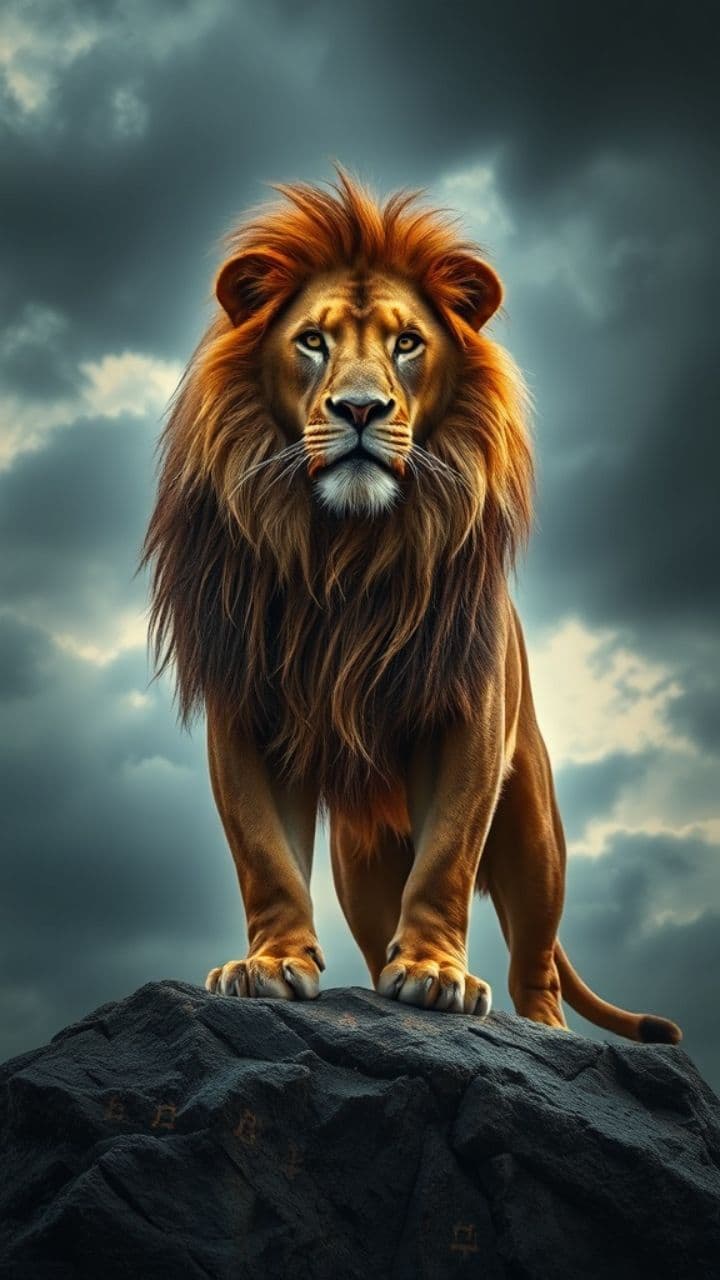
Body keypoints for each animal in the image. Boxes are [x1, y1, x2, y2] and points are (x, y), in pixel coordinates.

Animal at [141, 168, 681, 1044]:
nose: (361, 410)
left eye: (407, 344)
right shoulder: (246, 708)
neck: (346, 550)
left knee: (536, 960)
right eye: (313, 341)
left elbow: (448, 858)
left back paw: (543, 1029)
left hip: (535, 832)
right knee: (372, 928)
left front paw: (435, 974)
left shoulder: (465, 714)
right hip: (363, 866)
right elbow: (264, 854)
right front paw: (268, 965)